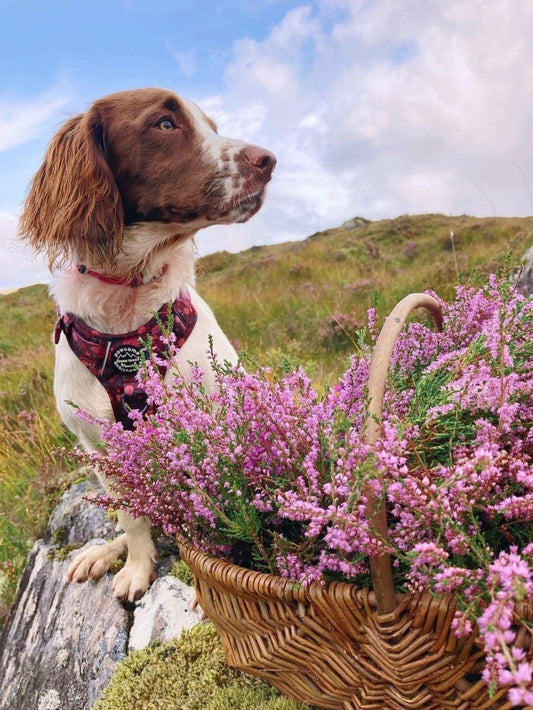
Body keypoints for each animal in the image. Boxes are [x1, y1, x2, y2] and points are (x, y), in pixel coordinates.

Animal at [18, 87, 276, 600]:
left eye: (211, 126)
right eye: (164, 124)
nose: (269, 161)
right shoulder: (103, 450)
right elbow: (133, 518)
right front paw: (136, 568)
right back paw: (101, 553)